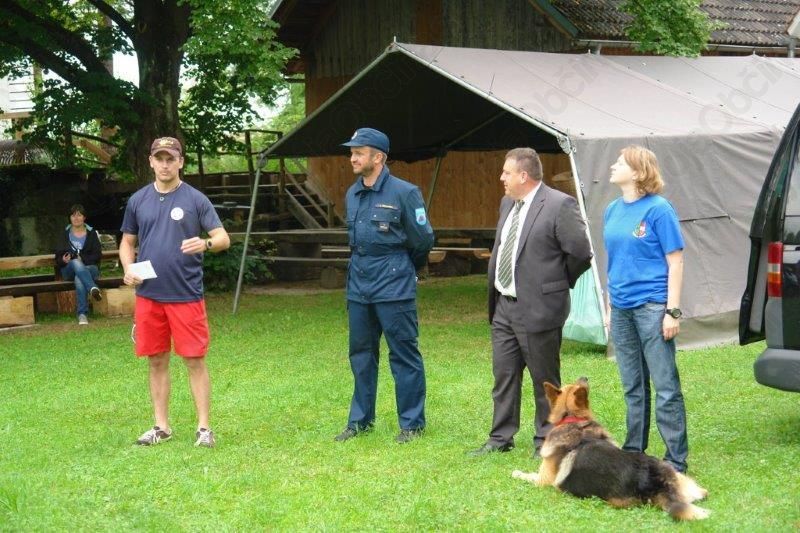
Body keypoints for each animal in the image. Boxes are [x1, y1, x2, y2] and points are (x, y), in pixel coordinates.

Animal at [511, 378, 710, 521]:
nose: (585, 377)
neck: (572, 420)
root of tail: (654, 480)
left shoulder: (543, 481)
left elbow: (526, 475)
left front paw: (516, 472)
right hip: (681, 480)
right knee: (702, 493)